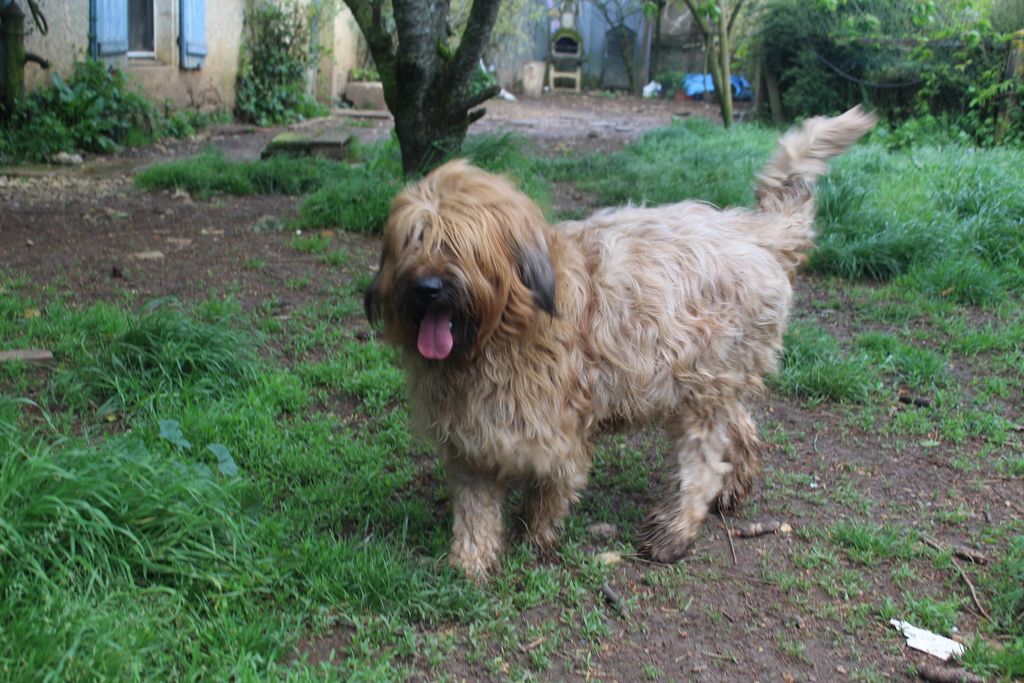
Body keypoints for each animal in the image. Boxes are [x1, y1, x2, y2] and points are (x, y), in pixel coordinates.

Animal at [364, 105, 876, 577]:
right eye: (414, 240)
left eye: (460, 245)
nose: (426, 288)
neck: (496, 337)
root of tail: (755, 232)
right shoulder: (470, 435)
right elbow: (475, 509)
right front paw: (469, 563)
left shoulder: (554, 433)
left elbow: (549, 490)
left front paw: (536, 537)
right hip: (713, 379)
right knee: (742, 427)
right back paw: (735, 487)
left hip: (702, 387)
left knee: (703, 463)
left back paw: (674, 532)